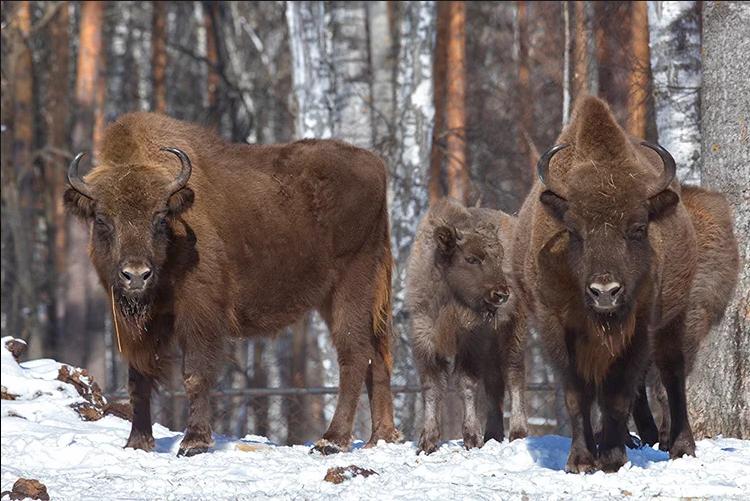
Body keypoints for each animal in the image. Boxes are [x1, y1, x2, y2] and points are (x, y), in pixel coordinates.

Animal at [64, 111, 400, 456]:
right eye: (101, 219)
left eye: (161, 217)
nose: (135, 275)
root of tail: (376, 165)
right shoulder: (138, 322)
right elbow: (138, 379)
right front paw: (137, 443)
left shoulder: (199, 311)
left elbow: (195, 374)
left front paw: (194, 442)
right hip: (346, 298)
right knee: (376, 355)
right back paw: (380, 438)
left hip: (350, 287)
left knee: (354, 353)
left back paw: (331, 440)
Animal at [412, 198, 528, 454]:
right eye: (472, 258)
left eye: (498, 258)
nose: (502, 294)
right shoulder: (425, 337)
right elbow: (431, 386)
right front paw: (427, 442)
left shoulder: (471, 339)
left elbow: (466, 382)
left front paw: (472, 437)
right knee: (494, 382)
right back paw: (493, 433)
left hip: (512, 330)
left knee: (513, 373)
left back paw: (518, 432)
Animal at [512, 94, 740, 472]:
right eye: (573, 230)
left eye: (638, 228)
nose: (605, 292)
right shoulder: (555, 327)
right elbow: (577, 394)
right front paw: (581, 460)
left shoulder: (640, 327)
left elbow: (618, 393)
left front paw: (612, 458)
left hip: (676, 319)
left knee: (672, 376)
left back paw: (679, 446)